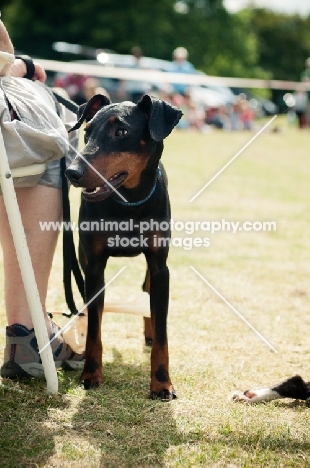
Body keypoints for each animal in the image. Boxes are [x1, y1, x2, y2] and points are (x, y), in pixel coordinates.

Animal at [65, 94, 182, 398]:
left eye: (121, 132)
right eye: (87, 131)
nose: (72, 172)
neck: (127, 203)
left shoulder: (160, 266)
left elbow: (163, 331)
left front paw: (161, 383)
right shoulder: (94, 267)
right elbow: (94, 329)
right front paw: (91, 374)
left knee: (147, 291)